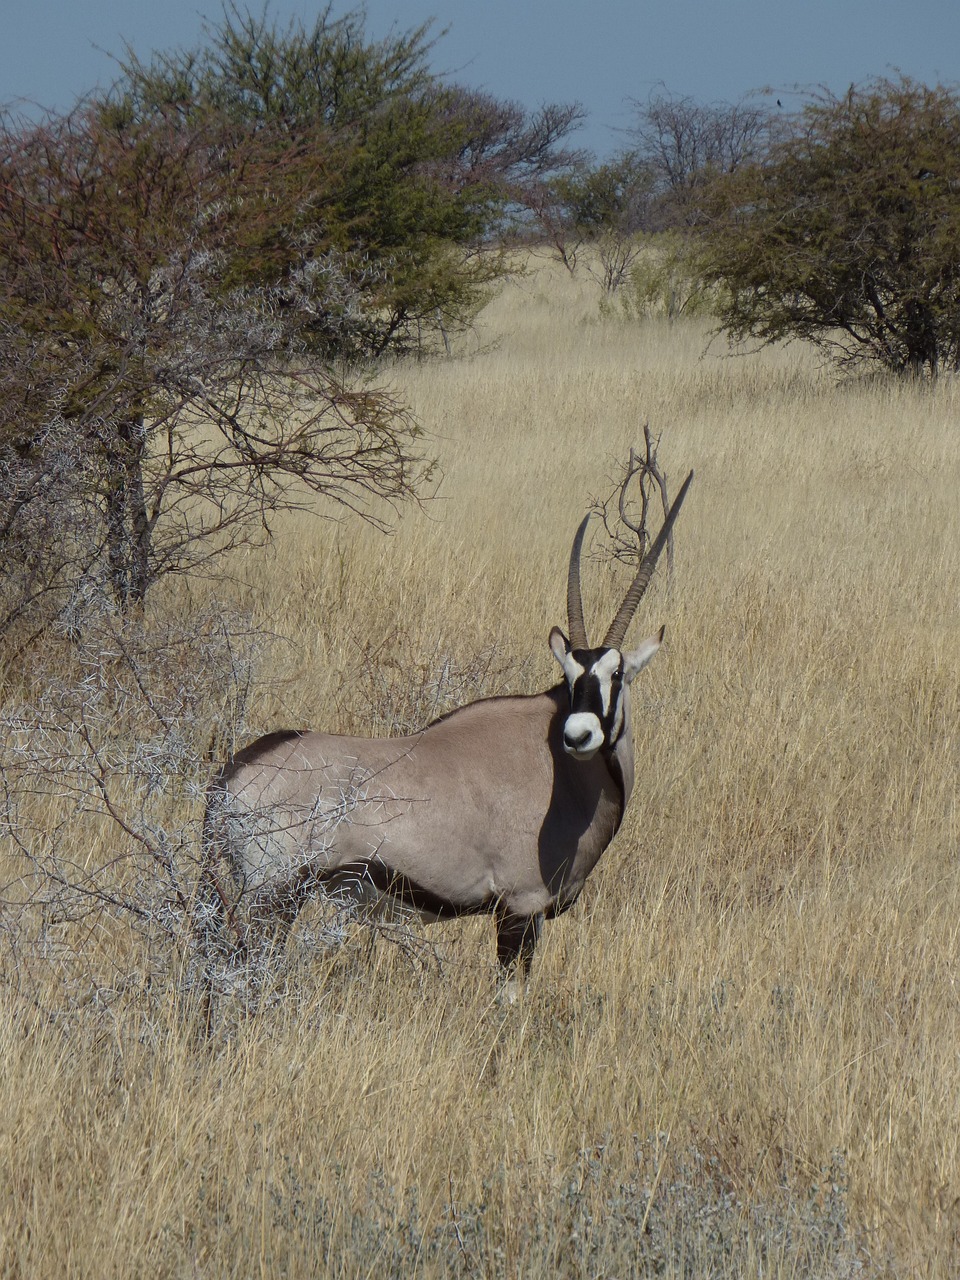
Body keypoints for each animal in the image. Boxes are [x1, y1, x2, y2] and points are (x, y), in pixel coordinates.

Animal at [204, 473, 691, 977]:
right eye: (572, 675)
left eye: (615, 674)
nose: (578, 735)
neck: (560, 769)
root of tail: (232, 774)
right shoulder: (520, 908)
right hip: (273, 899)